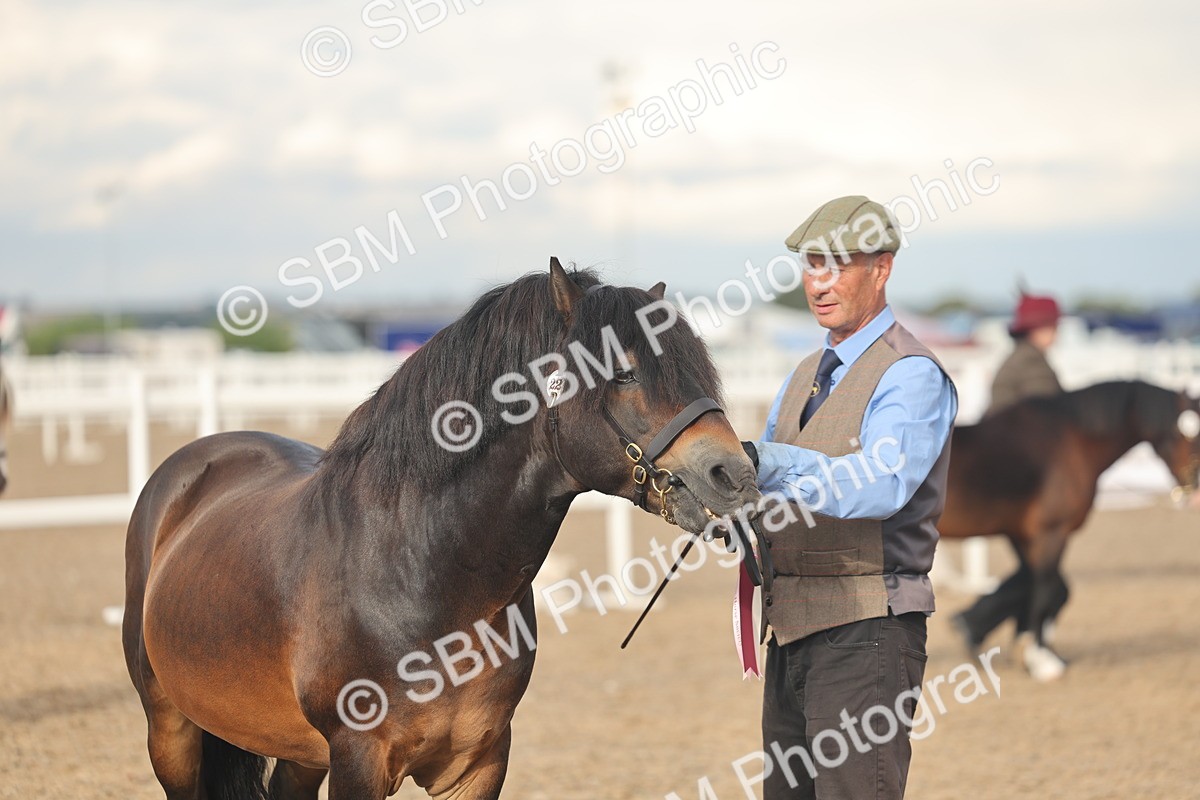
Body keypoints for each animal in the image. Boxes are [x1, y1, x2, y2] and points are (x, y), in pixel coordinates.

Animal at [123, 259, 761, 800]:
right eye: (623, 372)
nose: (733, 473)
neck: (421, 572)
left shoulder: (479, 762)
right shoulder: (358, 762)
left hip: (297, 754)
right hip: (170, 729)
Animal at [939, 380, 1200, 680]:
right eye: (1181, 430)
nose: (1193, 485)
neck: (1071, 441)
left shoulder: (1025, 536)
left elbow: (1051, 589)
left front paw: (1032, 649)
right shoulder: (1053, 533)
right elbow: (1045, 591)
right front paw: (1041, 662)